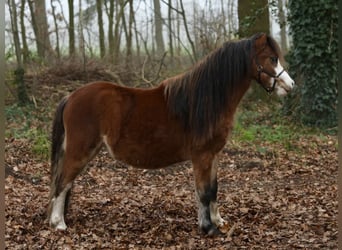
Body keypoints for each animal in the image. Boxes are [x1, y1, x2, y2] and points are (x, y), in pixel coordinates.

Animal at [47, 33, 294, 236]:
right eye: (272, 58)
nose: (291, 85)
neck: (206, 100)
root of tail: (70, 97)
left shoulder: (214, 155)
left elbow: (213, 189)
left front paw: (218, 221)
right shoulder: (202, 156)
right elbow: (203, 192)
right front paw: (208, 228)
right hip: (80, 151)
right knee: (63, 182)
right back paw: (58, 223)